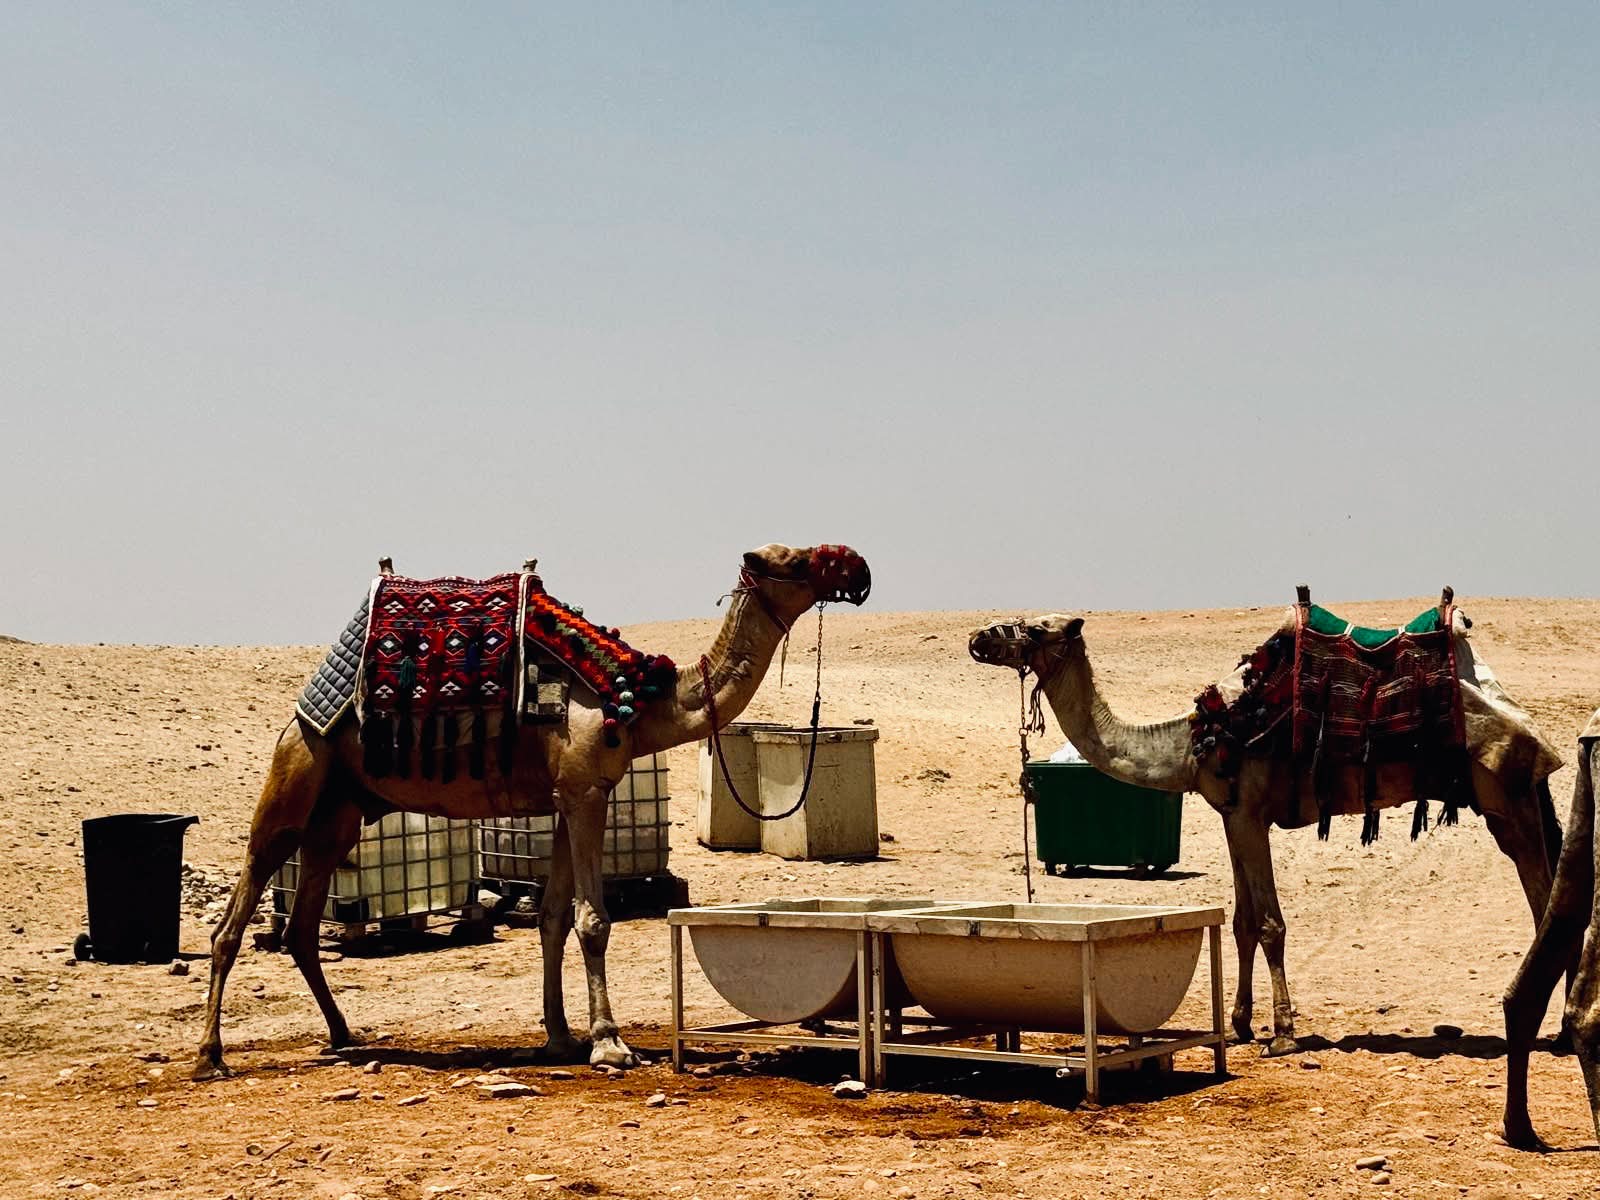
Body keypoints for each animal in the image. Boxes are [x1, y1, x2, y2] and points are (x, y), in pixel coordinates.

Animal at [194, 542, 871, 1081]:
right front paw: (610, 1045)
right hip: (298, 772)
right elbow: (593, 920)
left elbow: (551, 918)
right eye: (796, 560)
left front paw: (560, 1037)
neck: (637, 702)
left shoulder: (569, 796)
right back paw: (211, 1057)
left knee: (303, 928)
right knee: (236, 915)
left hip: (340, 810)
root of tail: (300, 713)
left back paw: (343, 1035)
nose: (857, 567)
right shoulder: (585, 790)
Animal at [968, 606, 1565, 1058]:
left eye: (1035, 628)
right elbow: (1242, 922)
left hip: (1506, 798)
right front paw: (1239, 1024)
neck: (1192, 741)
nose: (978, 637)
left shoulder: (1251, 811)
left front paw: (1283, 1034)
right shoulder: (1234, 815)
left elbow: (1272, 923)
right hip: (1512, 802)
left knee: (1544, 900)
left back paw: (1552, 1032)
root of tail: (1528, 724)